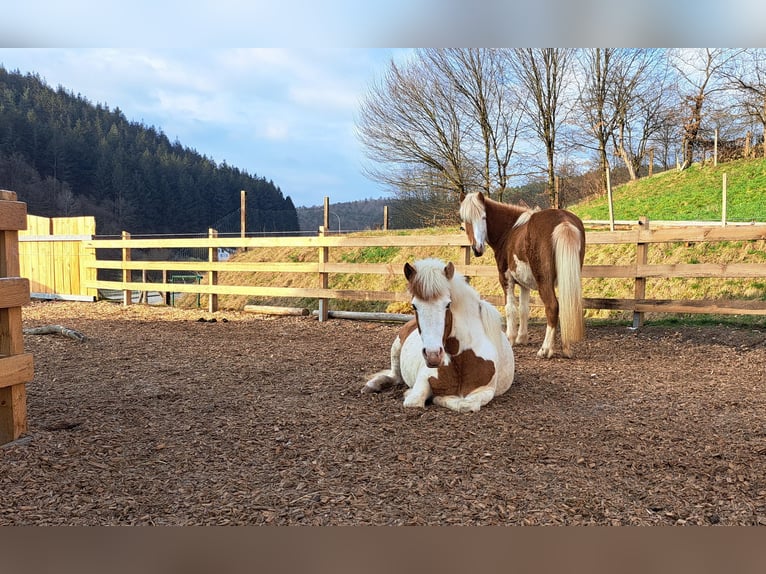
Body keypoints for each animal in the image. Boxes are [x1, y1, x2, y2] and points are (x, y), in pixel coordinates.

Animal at [361, 258, 514, 413]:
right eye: (414, 306)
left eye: (447, 304)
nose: (433, 355)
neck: (461, 361)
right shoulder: (423, 379)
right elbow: (415, 401)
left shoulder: (485, 390)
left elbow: (465, 404)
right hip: (396, 348)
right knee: (394, 375)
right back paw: (372, 385)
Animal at [459, 191, 585, 359]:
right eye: (466, 220)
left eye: (484, 217)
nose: (477, 248)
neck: (509, 230)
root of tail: (563, 221)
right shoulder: (525, 284)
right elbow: (524, 309)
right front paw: (522, 338)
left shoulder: (506, 279)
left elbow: (510, 308)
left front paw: (510, 338)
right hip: (568, 278)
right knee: (568, 306)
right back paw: (566, 349)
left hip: (544, 282)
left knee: (552, 307)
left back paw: (545, 349)